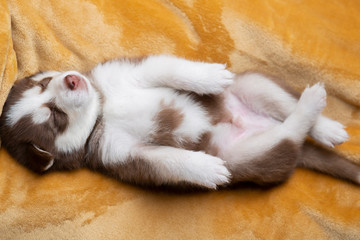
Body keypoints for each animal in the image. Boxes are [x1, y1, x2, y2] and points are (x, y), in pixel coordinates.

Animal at [0, 55, 360, 188]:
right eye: (55, 117)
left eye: (44, 83)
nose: (73, 80)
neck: (104, 109)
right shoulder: (122, 153)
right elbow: (170, 161)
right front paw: (206, 169)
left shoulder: (130, 71)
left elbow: (171, 68)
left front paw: (210, 76)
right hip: (250, 155)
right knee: (290, 135)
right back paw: (307, 111)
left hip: (252, 85)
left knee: (286, 105)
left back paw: (325, 124)